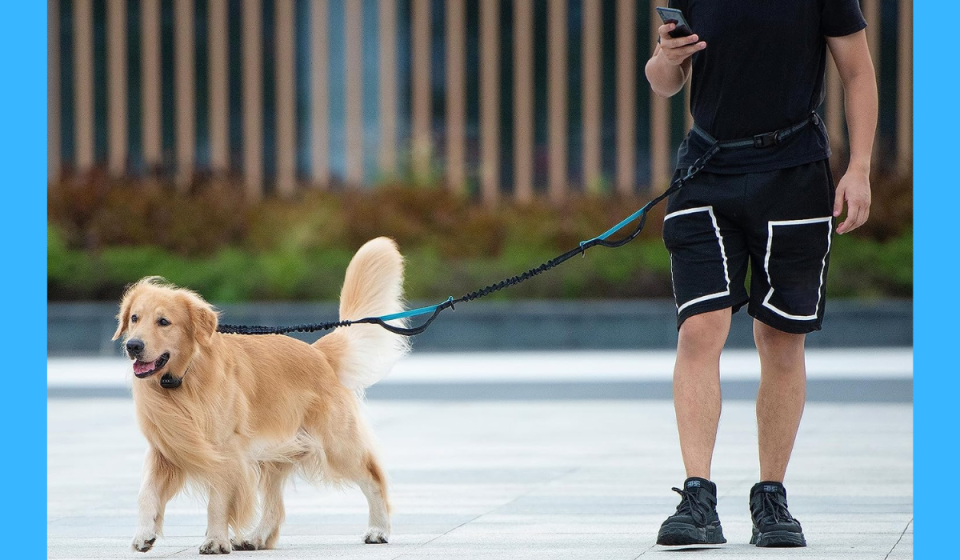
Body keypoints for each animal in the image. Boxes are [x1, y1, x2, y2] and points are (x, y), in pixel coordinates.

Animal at [113, 237, 408, 556]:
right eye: (134, 318)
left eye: (164, 322)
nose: (133, 345)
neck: (184, 379)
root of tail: (318, 353)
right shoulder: (166, 447)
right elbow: (146, 493)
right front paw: (144, 534)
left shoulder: (225, 451)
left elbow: (218, 501)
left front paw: (215, 540)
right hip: (272, 453)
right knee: (275, 506)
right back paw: (256, 537)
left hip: (337, 444)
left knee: (373, 477)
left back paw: (378, 530)